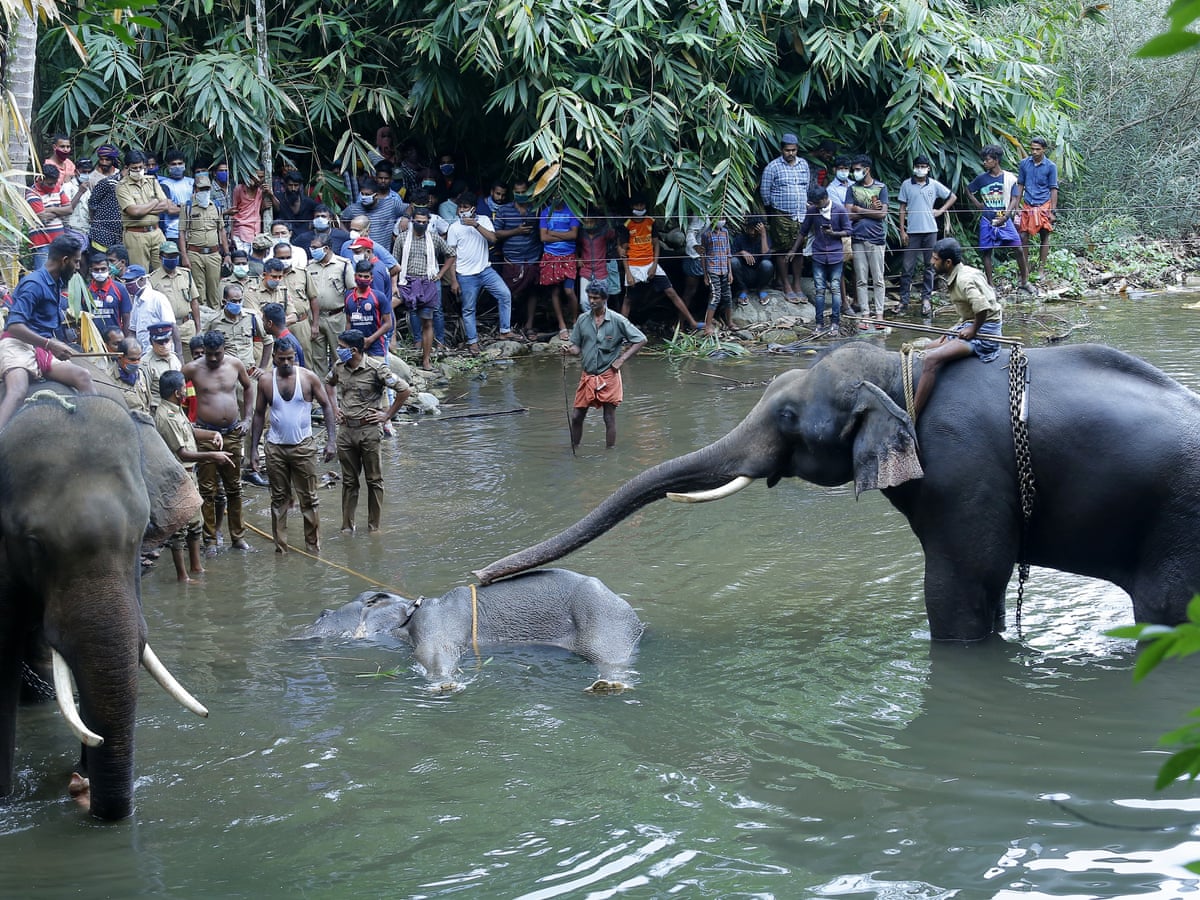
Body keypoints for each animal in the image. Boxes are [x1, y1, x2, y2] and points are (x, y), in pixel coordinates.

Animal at [295, 568, 645, 690]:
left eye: (322, 614)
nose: (298, 635)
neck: (411, 608)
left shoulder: (437, 623)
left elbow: (435, 652)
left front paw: (445, 686)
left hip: (602, 620)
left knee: (610, 657)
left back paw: (608, 686)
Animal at [475, 341, 1200, 642]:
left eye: (790, 417)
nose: (479, 577)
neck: (903, 369)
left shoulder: (965, 471)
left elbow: (962, 584)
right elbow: (985, 586)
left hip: (1179, 527)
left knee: (1166, 611)